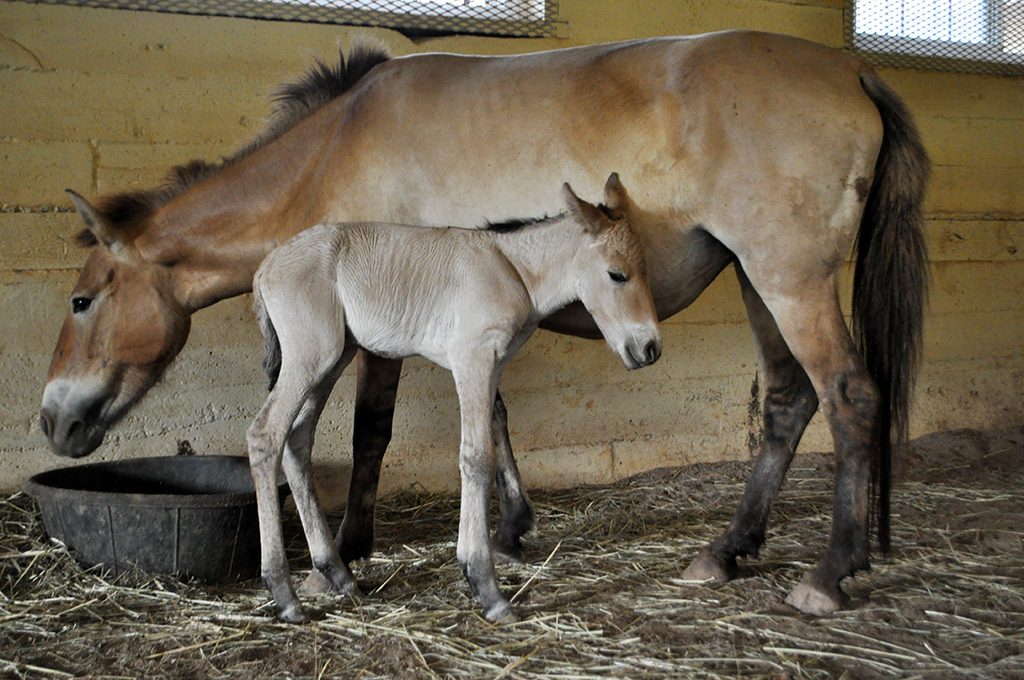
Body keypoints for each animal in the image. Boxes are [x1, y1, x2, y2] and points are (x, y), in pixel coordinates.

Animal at [37, 30, 929, 614]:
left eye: (82, 300)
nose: (52, 419)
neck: (335, 146)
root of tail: (855, 72)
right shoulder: (467, 323)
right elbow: (492, 418)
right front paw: (510, 528)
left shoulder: (388, 327)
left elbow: (373, 431)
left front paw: (353, 550)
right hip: (757, 281)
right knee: (788, 401)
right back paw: (727, 551)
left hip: (787, 280)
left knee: (848, 396)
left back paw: (829, 572)